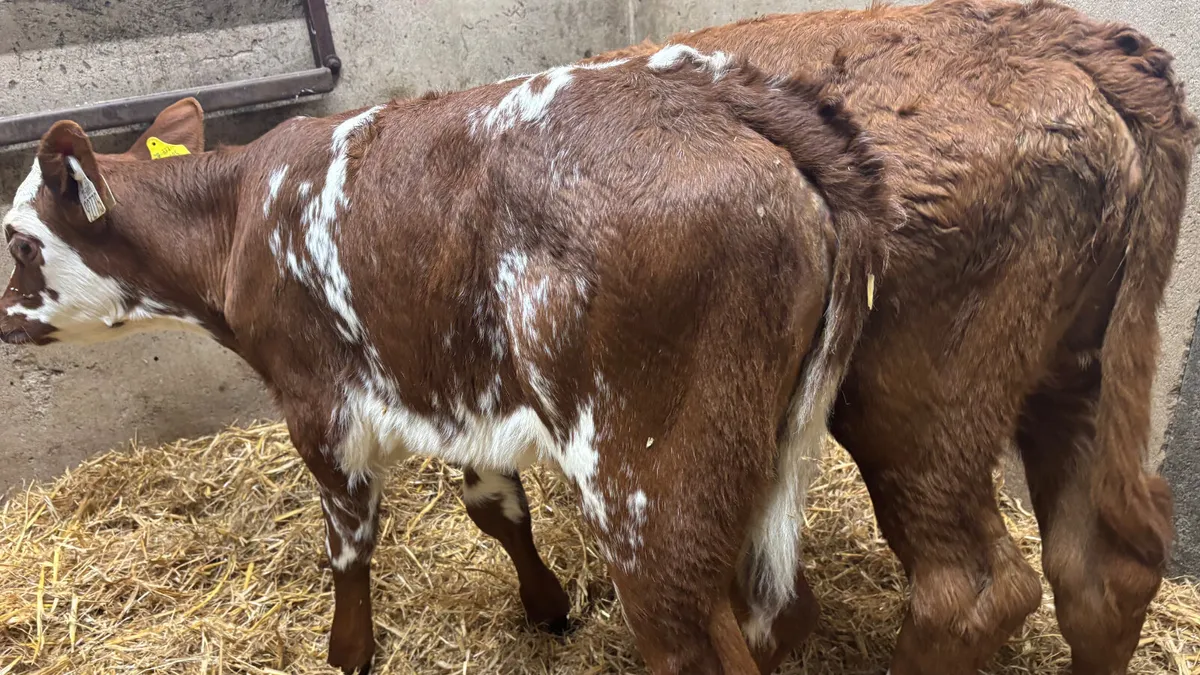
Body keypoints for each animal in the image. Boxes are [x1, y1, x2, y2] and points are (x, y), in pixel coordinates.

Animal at [0, 48, 896, 674]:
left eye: (19, 241)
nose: (3, 318)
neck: (237, 215)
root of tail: (720, 94)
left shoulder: (319, 406)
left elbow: (350, 541)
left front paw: (348, 652)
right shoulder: (462, 392)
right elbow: (497, 508)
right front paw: (547, 605)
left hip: (643, 478)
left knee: (691, 636)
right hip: (752, 453)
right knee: (781, 609)